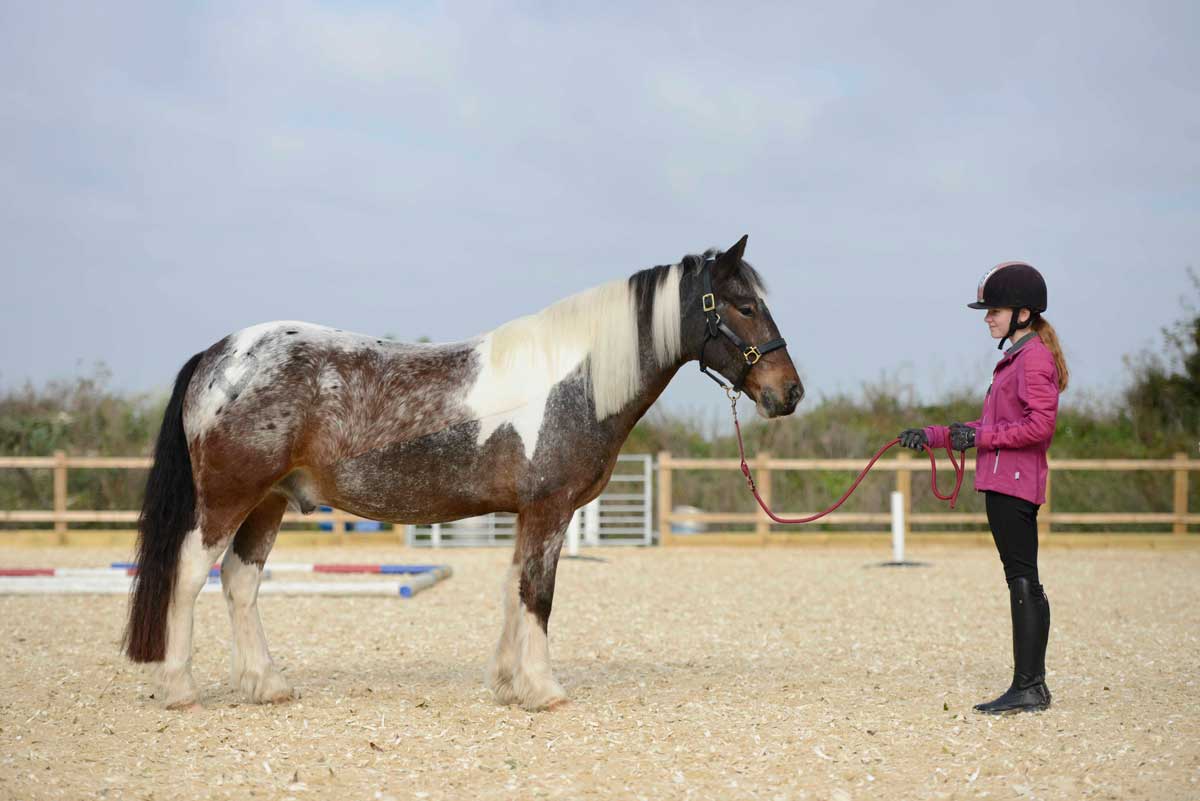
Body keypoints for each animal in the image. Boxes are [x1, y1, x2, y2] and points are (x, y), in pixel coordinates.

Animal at [121, 235, 801, 709]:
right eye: (743, 306)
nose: (788, 393)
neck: (571, 381)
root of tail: (219, 355)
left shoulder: (528, 513)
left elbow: (512, 589)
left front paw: (507, 682)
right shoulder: (550, 509)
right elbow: (538, 594)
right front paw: (543, 690)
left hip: (269, 501)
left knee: (240, 581)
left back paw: (266, 684)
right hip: (228, 498)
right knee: (190, 575)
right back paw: (180, 689)